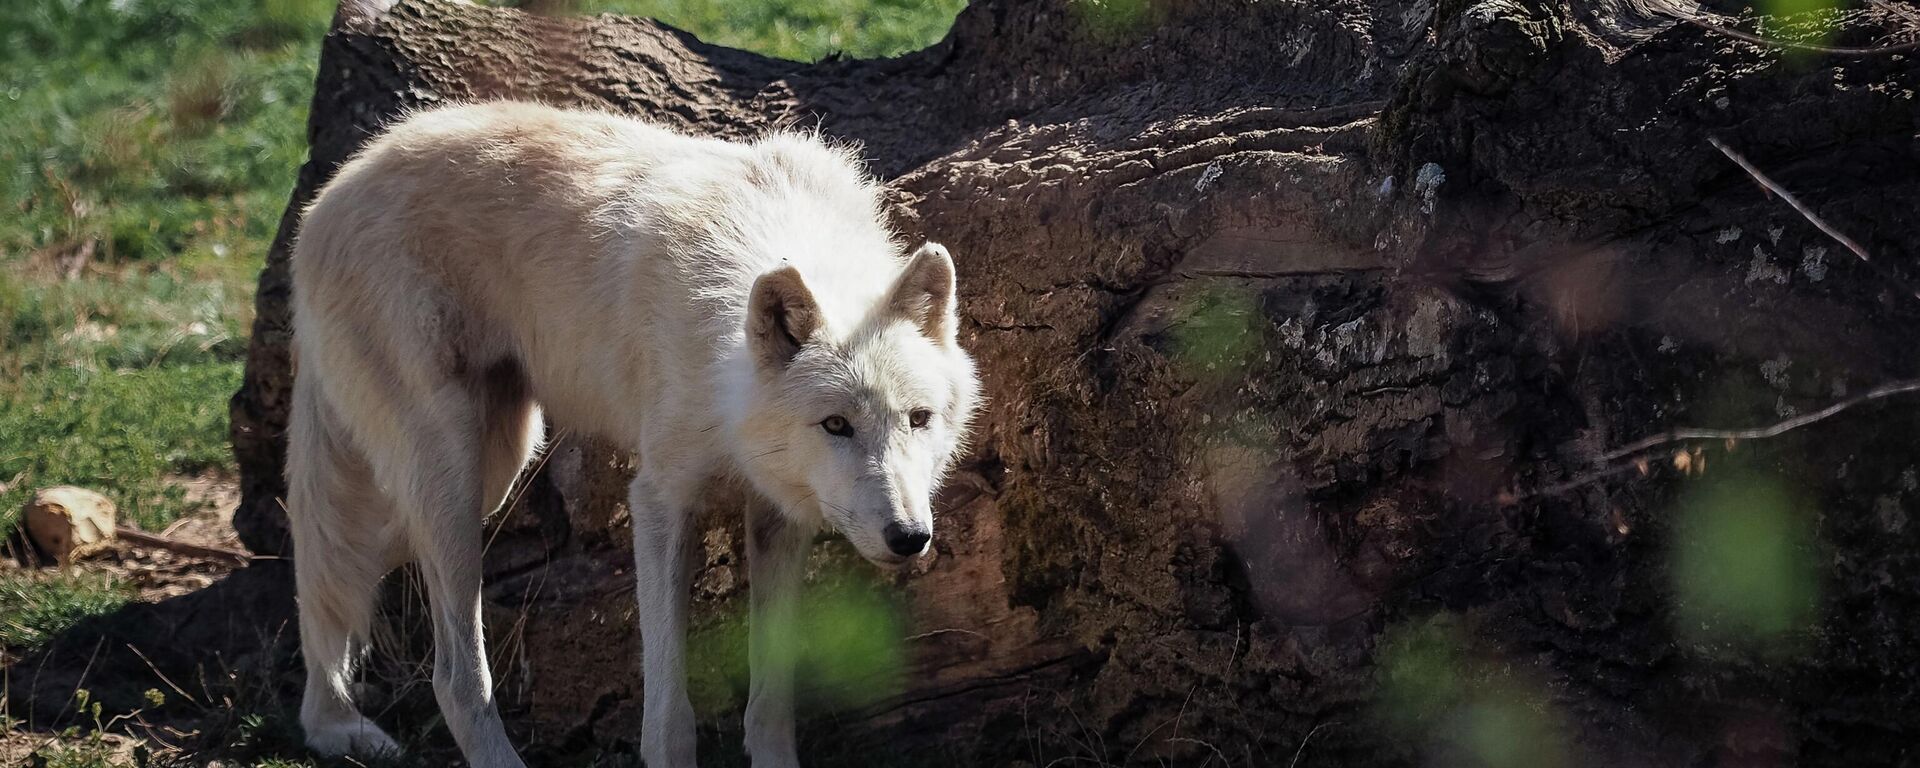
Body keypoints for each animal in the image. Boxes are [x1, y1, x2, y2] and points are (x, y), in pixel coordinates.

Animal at [286, 101, 982, 768]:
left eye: (918, 419)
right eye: (836, 424)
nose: (909, 538)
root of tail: (330, 194)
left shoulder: (780, 517)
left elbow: (772, 696)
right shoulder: (659, 501)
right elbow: (671, 717)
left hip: (481, 473)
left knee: (330, 575)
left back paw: (332, 727)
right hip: (465, 478)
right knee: (451, 675)